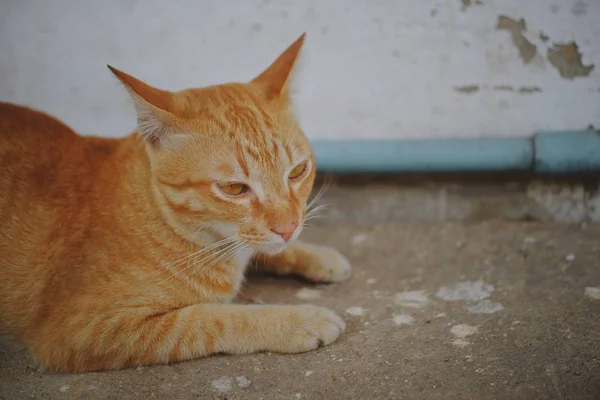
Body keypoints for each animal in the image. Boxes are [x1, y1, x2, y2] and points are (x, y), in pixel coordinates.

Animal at [0, 33, 352, 372]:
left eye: (298, 172)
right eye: (235, 188)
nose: (289, 229)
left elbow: (268, 250)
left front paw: (315, 254)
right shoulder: (84, 331)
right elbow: (214, 319)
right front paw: (297, 320)